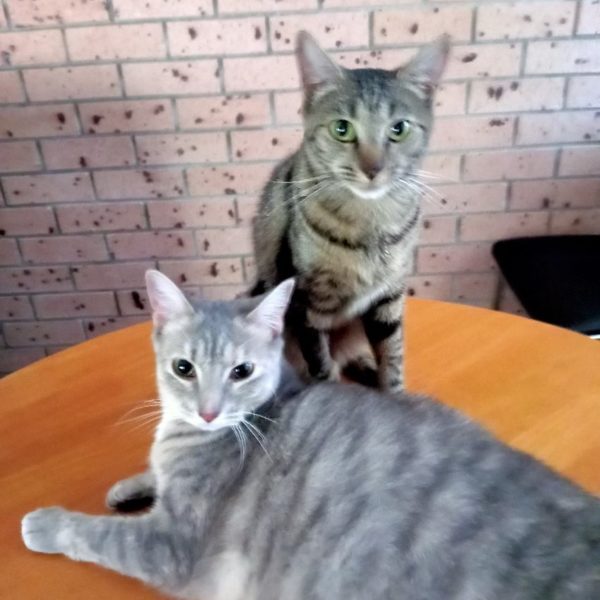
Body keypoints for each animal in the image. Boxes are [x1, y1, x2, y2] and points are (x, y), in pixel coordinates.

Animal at [23, 269, 600, 600]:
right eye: (183, 368)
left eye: (241, 372)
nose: (208, 412)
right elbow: (149, 474)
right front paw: (131, 485)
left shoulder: (170, 545)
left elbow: (97, 533)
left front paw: (47, 523)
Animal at [250, 31, 450, 393]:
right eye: (342, 129)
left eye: (399, 128)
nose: (373, 169)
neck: (370, 221)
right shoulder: (306, 304)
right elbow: (321, 364)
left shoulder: (389, 298)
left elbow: (392, 357)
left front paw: (394, 394)